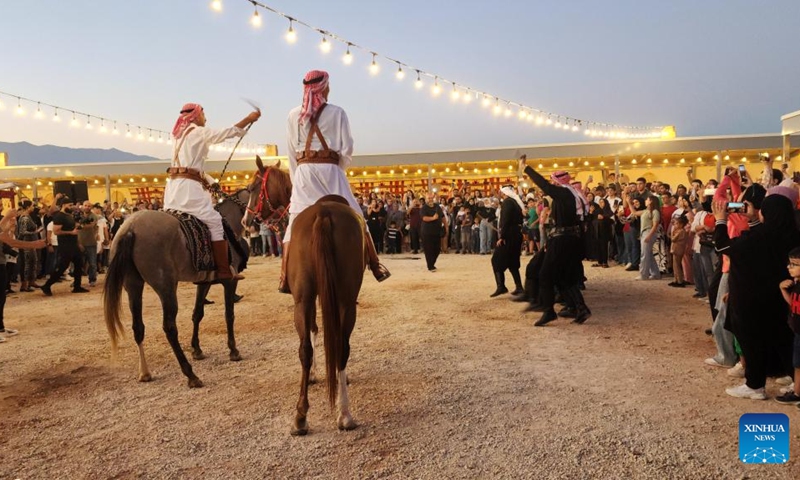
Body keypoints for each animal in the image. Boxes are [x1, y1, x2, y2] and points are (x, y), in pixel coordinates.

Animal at [100, 163, 266, 388]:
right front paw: (233, 350)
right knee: (169, 327)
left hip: (133, 285)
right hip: (166, 287)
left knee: (138, 327)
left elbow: (197, 314)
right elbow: (229, 315)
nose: (252, 222)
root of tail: (129, 228)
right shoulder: (229, 281)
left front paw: (197, 349)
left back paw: (145, 372)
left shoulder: (204, 282)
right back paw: (190, 374)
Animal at [241, 158, 366, 436]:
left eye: (252, 187)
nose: (246, 221)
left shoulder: (305, 298)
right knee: (341, 345)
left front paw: (315, 375)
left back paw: (301, 416)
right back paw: (344, 413)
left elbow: (313, 330)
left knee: (305, 349)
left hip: (302, 300)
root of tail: (323, 213)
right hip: (345, 299)